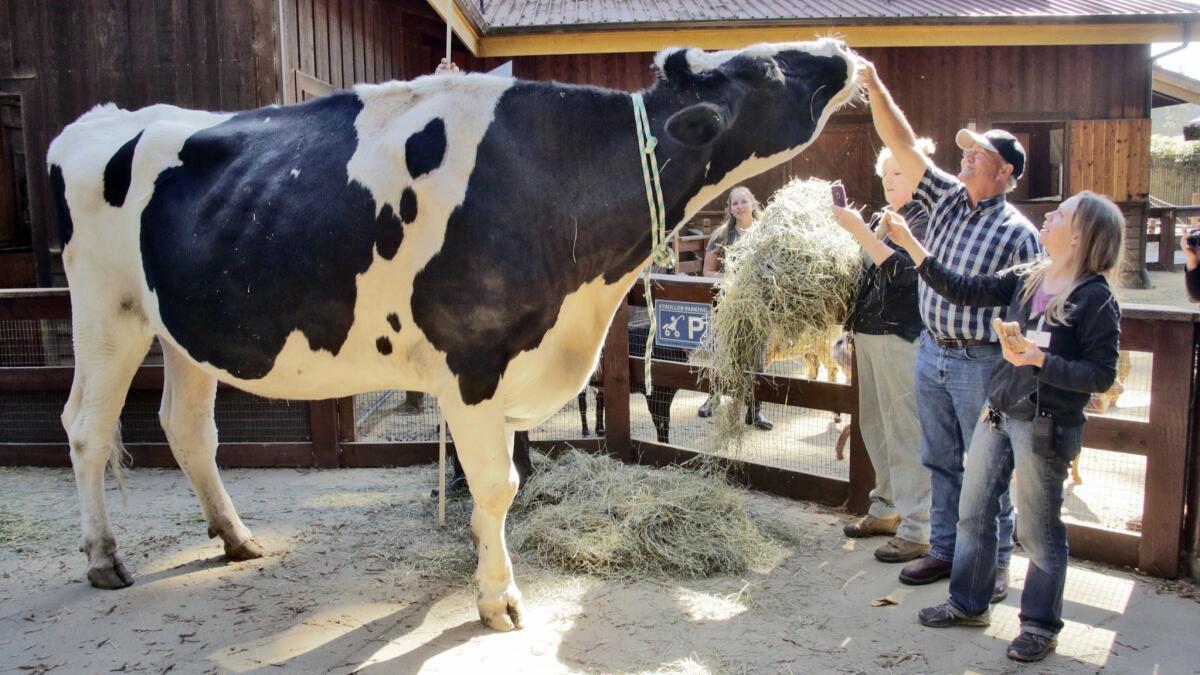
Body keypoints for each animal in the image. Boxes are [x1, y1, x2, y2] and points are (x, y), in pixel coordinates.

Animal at [46, 40, 854, 629]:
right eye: (768, 69)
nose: (841, 50)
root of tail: (98, 121)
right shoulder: (473, 359)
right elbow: (499, 484)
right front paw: (498, 597)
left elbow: (507, 476)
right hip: (106, 307)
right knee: (85, 425)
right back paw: (103, 558)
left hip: (181, 326)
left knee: (187, 427)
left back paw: (237, 537)